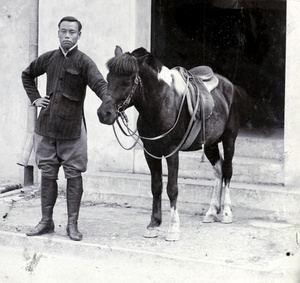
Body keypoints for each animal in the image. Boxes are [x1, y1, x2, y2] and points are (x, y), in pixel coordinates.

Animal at [97, 46, 250, 242]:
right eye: (109, 78)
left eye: (127, 81)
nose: (104, 113)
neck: (160, 104)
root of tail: (232, 87)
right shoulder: (150, 152)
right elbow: (156, 187)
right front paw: (153, 225)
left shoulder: (172, 152)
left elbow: (172, 188)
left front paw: (173, 228)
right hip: (210, 144)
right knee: (219, 171)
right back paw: (211, 211)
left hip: (229, 139)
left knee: (228, 171)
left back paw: (226, 213)